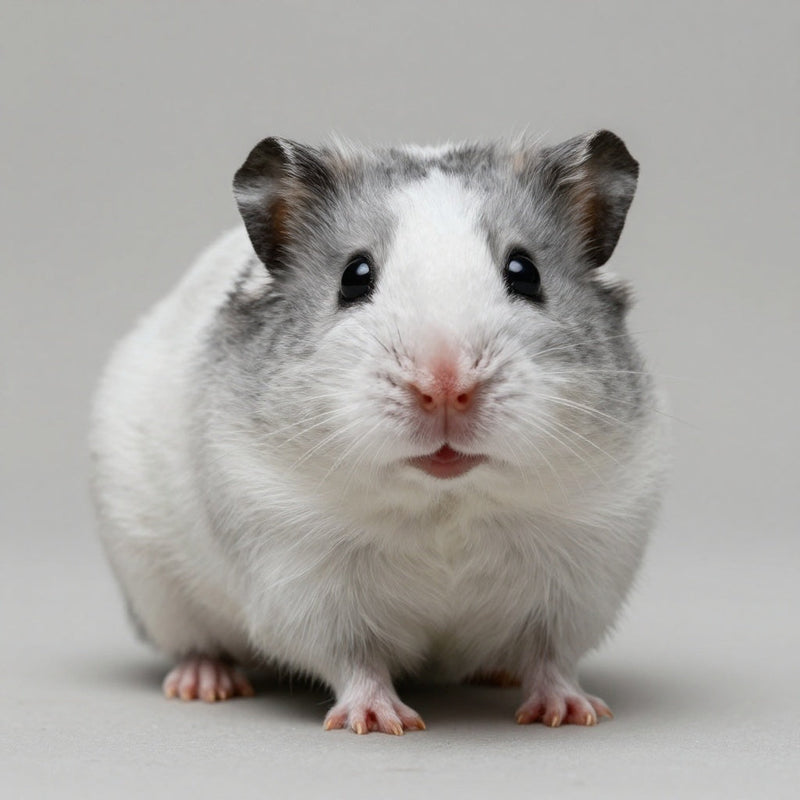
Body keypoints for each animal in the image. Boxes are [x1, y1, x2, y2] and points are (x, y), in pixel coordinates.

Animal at [90, 130, 667, 735]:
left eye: (525, 271)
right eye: (354, 276)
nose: (445, 388)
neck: (446, 503)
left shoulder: (582, 574)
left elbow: (551, 656)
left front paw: (575, 713)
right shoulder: (302, 578)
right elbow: (354, 659)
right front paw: (382, 722)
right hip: (157, 589)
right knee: (195, 644)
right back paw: (204, 685)